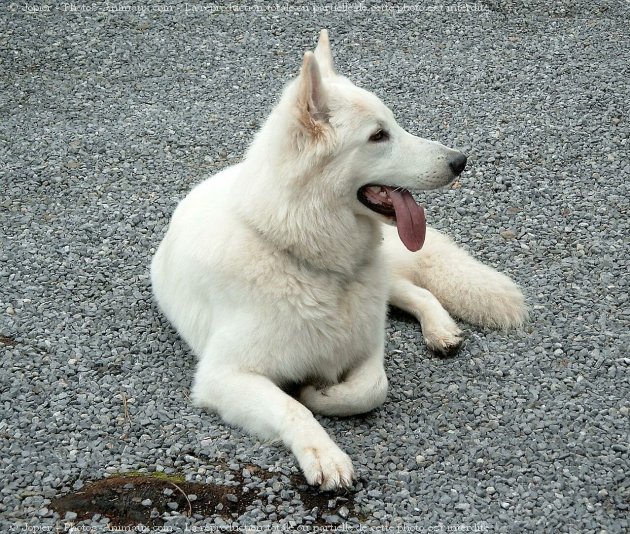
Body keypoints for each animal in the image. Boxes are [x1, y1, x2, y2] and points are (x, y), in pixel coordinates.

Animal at [152, 31, 528, 494]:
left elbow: (372, 387)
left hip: (382, 280)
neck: (299, 251)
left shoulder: (368, 344)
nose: (460, 161)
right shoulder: (223, 376)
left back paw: (440, 329)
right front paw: (324, 453)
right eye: (378, 135)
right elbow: (292, 408)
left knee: (416, 291)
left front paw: (322, 395)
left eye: (393, 124)